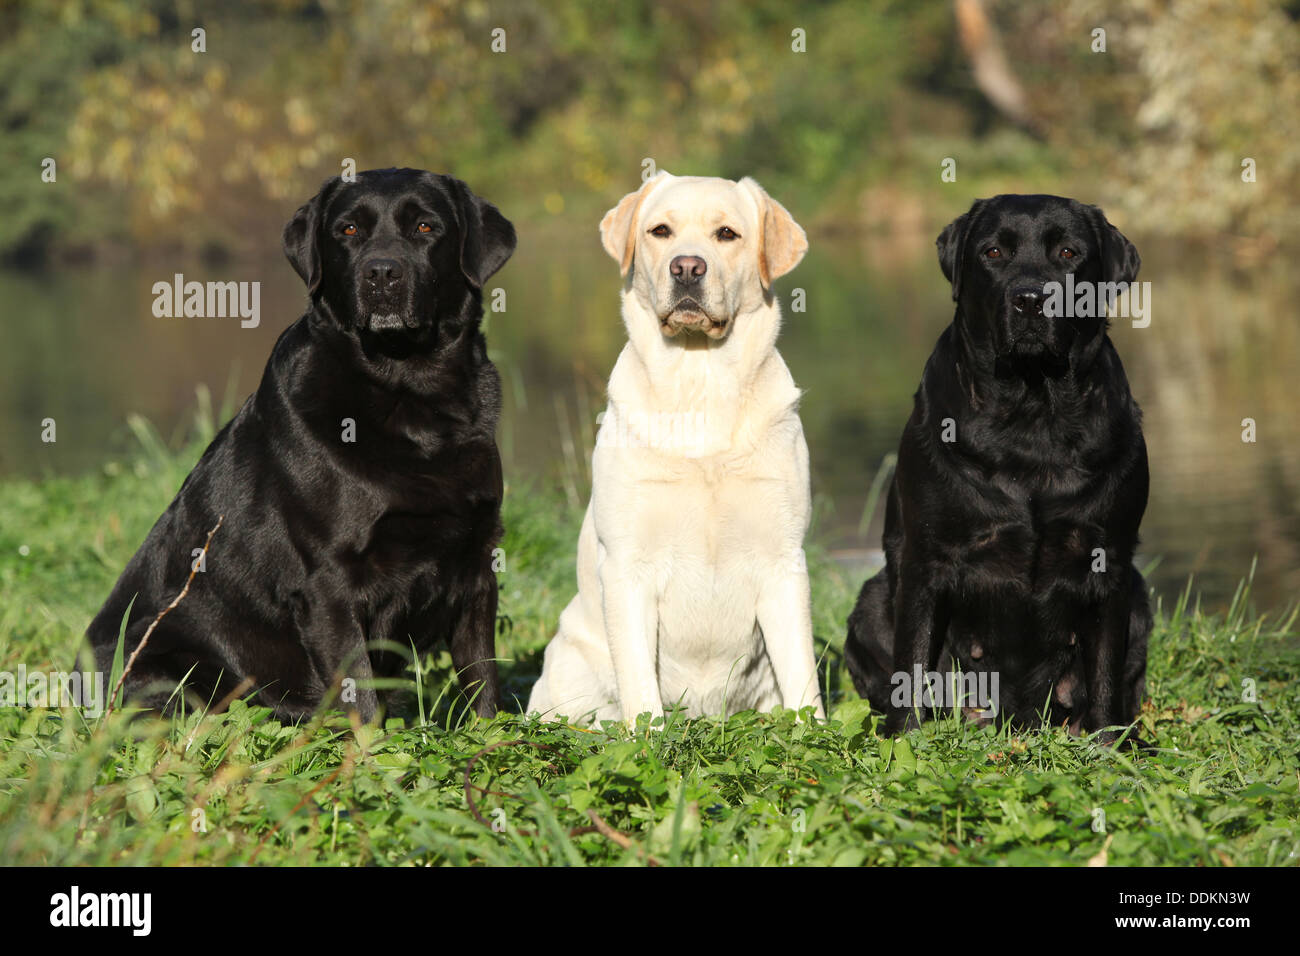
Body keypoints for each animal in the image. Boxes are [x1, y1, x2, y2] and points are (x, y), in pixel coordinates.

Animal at [89, 167, 514, 723]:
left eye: (425, 226)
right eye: (348, 230)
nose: (382, 273)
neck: (408, 390)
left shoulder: (477, 563)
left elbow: (482, 681)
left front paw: (492, 737)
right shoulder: (329, 580)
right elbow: (362, 699)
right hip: (163, 660)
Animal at [525, 171, 821, 723]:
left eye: (727, 234)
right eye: (660, 231)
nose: (687, 267)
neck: (699, 382)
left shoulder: (783, 562)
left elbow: (803, 680)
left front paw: (817, 736)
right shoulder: (627, 568)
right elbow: (641, 689)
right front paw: (648, 739)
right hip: (568, 662)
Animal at [847, 196, 1154, 749]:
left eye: (1068, 253)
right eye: (993, 252)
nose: (1031, 299)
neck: (1031, 411)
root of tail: (1017, 717)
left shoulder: (1110, 561)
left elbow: (1104, 669)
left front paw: (1108, 745)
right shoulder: (926, 558)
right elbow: (913, 659)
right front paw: (903, 739)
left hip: (1140, 599)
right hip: (871, 600)